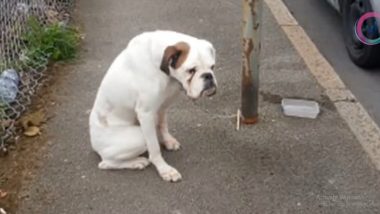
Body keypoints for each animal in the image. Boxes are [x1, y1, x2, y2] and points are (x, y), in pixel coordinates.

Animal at [88, 30, 217, 182]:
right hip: (137, 138)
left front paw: (168, 141)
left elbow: (163, 124)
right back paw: (137, 162)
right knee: (106, 163)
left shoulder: (162, 106)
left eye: (212, 67)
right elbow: (154, 147)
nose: (208, 76)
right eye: (191, 70)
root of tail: (94, 143)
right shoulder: (146, 114)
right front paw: (164, 169)